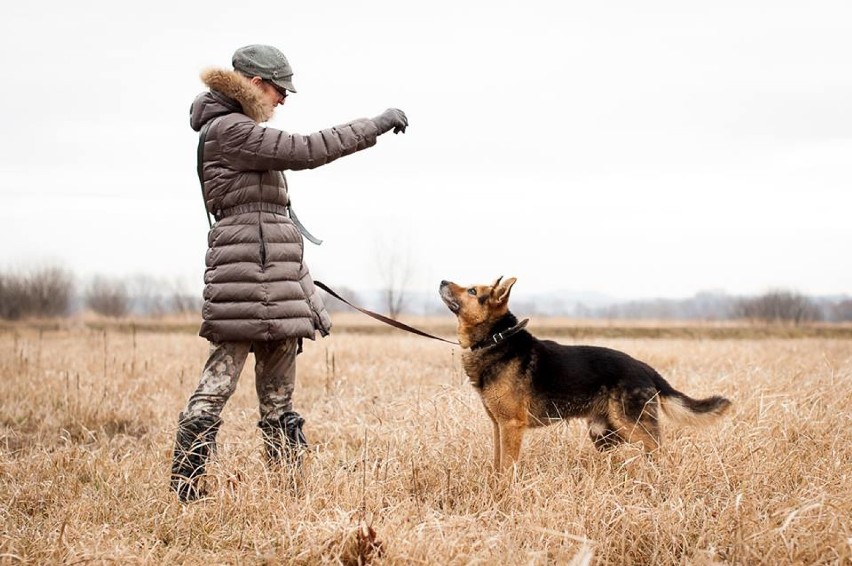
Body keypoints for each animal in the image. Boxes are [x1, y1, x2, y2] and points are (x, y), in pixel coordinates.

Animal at [440, 278, 732, 472]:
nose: (443, 280)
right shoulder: (498, 426)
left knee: (659, 451)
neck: (496, 338)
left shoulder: (511, 425)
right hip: (604, 433)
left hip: (632, 425)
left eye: (472, 290)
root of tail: (644, 367)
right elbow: (497, 464)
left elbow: (507, 467)